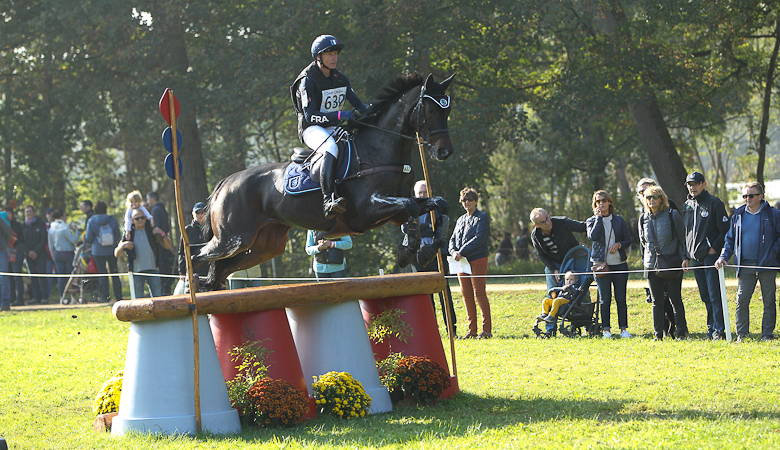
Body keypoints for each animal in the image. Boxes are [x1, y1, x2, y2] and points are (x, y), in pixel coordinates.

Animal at [194, 70, 458, 288]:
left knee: (219, 271)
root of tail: (224, 183)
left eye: (447, 110)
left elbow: (437, 204)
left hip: (263, 246)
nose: (445, 151)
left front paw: (427, 249)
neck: (380, 147)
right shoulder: (368, 210)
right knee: (198, 256)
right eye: (431, 110)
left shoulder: (395, 211)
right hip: (233, 239)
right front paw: (408, 252)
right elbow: (411, 205)